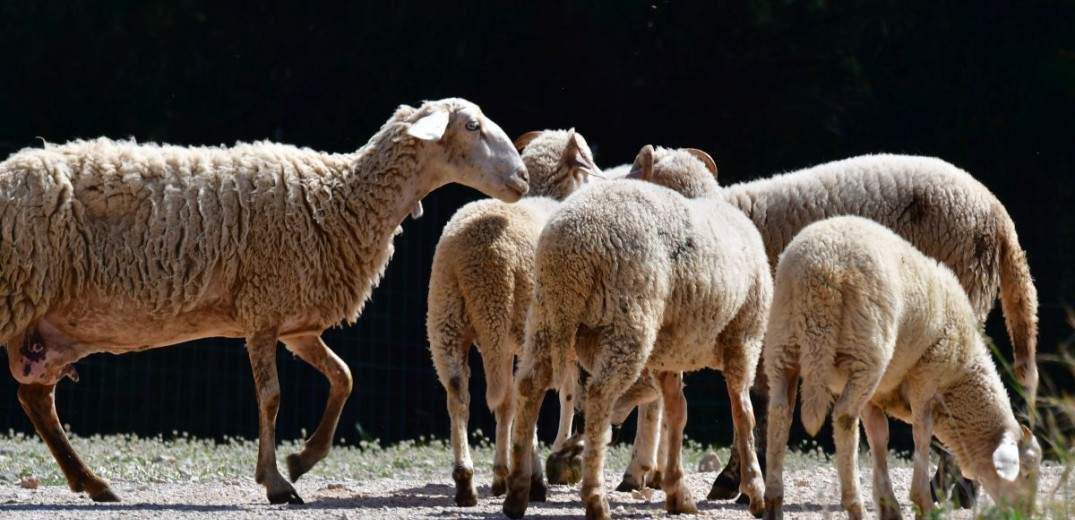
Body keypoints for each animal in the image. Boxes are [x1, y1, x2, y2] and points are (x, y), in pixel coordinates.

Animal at [0, 96, 528, 502]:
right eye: (472, 125)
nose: (522, 178)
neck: (337, 199)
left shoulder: (297, 324)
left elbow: (344, 378)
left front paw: (302, 460)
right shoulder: (263, 309)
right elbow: (271, 397)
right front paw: (276, 482)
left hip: (46, 331)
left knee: (36, 398)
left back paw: (93, 483)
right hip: (15, 295)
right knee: (34, 398)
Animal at [425, 127, 597, 504]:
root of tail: (477, 253)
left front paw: (502, 473)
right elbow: (539, 397)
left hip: (447, 318)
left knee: (459, 393)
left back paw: (466, 480)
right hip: (506, 318)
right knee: (514, 393)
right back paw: (526, 478)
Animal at [498, 145, 769, 520]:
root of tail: (571, 244)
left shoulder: (668, 355)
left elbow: (677, 412)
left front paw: (678, 493)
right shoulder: (744, 337)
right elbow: (743, 413)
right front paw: (754, 490)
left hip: (545, 313)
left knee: (530, 384)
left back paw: (518, 492)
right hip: (628, 321)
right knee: (599, 395)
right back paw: (595, 498)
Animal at [765, 214, 1040, 520]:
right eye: (1026, 473)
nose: (1026, 513)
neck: (960, 379)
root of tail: (818, 275)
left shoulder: (876, 396)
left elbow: (879, 438)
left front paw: (889, 505)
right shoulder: (927, 379)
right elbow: (921, 433)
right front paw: (922, 502)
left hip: (783, 342)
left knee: (780, 411)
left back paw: (773, 500)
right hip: (865, 352)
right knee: (844, 416)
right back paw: (854, 504)